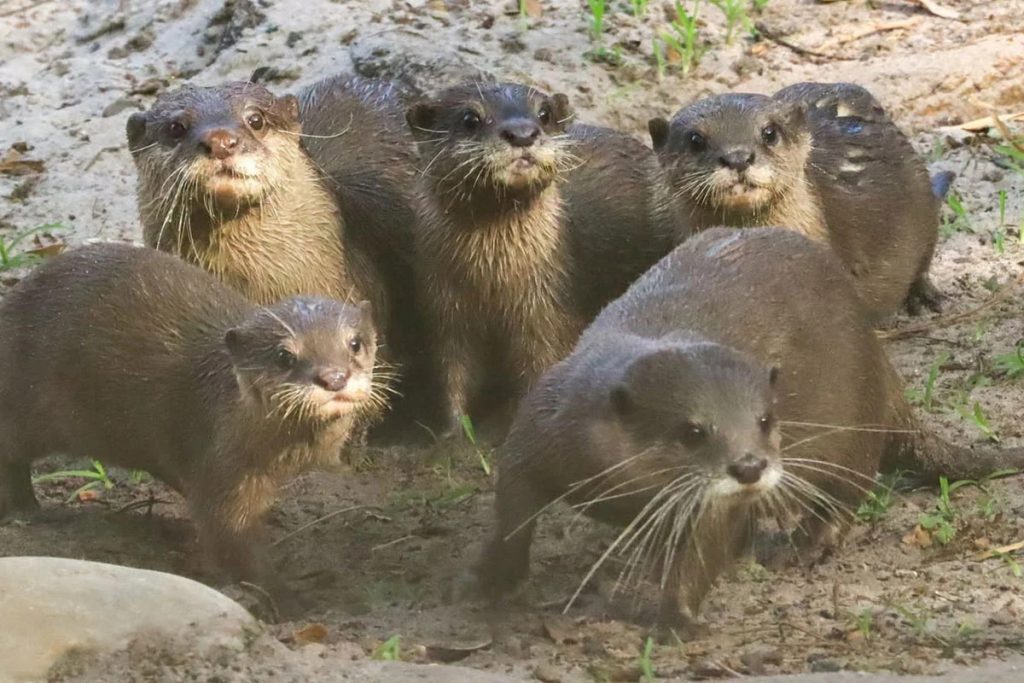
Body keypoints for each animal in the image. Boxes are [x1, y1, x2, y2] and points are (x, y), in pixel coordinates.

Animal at [0, 243, 380, 598]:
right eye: (284, 355)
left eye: (355, 343)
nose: (334, 377)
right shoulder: (222, 465)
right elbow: (229, 534)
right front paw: (285, 594)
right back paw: (25, 509)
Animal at [406, 82, 681, 432]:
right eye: (470, 118)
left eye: (544, 114)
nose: (523, 134)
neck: (492, 283)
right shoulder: (444, 312)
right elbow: (452, 375)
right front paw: (454, 434)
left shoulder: (547, 312)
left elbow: (539, 370)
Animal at [478, 228, 1024, 635]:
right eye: (693, 431)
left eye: (764, 420)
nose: (749, 466)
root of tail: (880, 358)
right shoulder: (539, 426)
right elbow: (512, 510)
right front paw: (494, 582)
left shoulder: (715, 504)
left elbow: (705, 549)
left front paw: (681, 618)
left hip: (855, 411)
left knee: (851, 486)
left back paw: (808, 544)